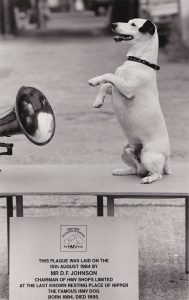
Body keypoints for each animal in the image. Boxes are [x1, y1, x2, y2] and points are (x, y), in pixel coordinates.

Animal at [88, 18, 171, 184]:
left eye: (133, 24)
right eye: (128, 21)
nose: (113, 25)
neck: (138, 61)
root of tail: (167, 159)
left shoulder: (127, 89)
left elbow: (108, 75)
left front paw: (94, 80)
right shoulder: (116, 89)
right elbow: (106, 84)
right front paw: (98, 101)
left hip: (148, 155)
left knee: (156, 173)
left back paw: (148, 179)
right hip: (125, 151)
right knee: (136, 169)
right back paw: (122, 171)